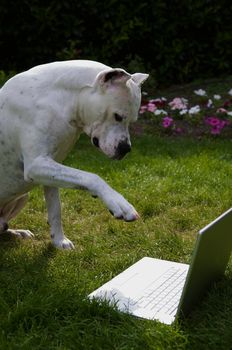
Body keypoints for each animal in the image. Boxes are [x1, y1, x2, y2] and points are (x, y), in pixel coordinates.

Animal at [0, 60, 149, 249]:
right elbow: (91, 177)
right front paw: (118, 202)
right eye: (117, 116)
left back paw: (17, 232)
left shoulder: (50, 168)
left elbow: (55, 209)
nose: (126, 149)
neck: (61, 100)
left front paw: (59, 241)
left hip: (22, 197)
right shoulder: (37, 165)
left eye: (132, 120)